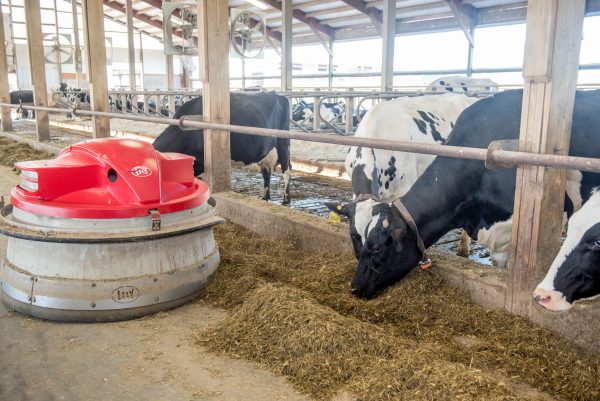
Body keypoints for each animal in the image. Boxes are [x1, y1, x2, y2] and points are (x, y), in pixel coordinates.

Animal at [154, 91, 292, 203]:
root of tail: (278, 95)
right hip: (266, 153)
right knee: (266, 172)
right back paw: (265, 197)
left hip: (283, 142)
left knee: (287, 169)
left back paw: (285, 199)